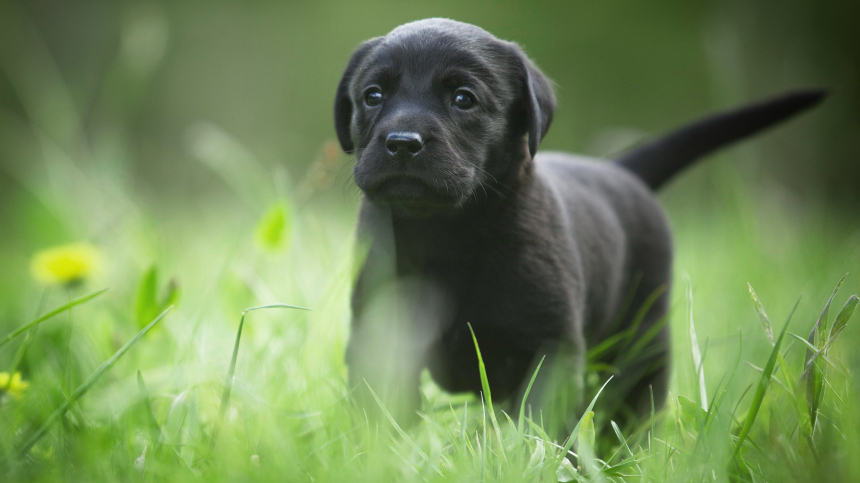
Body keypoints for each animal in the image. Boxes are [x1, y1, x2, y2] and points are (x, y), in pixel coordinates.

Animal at [332, 19, 824, 432]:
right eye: (373, 95)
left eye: (463, 99)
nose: (401, 142)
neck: (445, 230)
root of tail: (621, 171)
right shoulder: (378, 333)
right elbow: (383, 408)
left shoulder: (551, 347)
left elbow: (536, 424)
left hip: (643, 338)